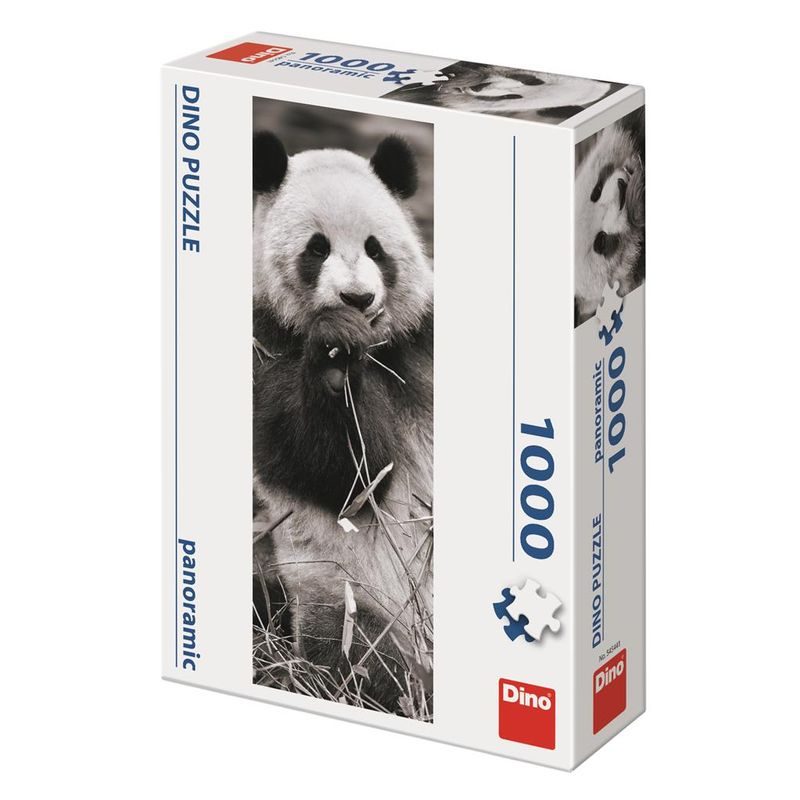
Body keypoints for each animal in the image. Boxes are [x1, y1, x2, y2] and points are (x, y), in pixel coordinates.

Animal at [251, 131, 434, 717]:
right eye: (317, 248)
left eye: (376, 248)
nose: (357, 298)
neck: (377, 347)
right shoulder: (263, 345)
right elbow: (344, 476)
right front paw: (334, 359)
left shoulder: (423, 342)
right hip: (348, 595)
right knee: (366, 662)